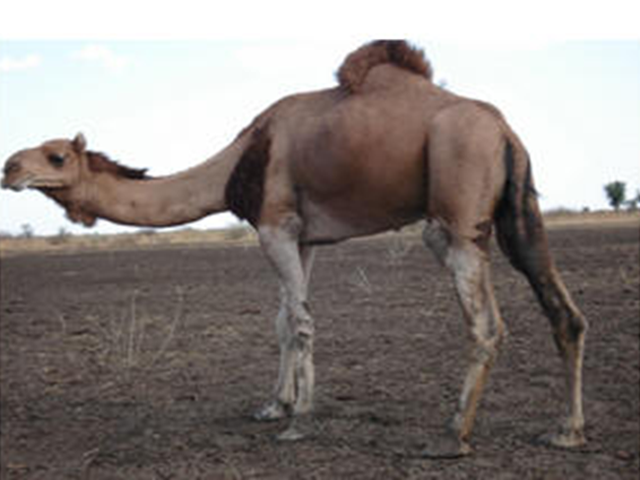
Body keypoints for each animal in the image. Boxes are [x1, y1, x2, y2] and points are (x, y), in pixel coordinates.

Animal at [2, 40, 587, 457]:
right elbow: (284, 318)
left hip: (457, 211)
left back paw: (451, 436)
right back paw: (566, 430)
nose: (9, 167)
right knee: (566, 312)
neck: (239, 159)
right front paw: (274, 406)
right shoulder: (303, 236)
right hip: (519, 212)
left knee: (486, 322)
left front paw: (299, 422)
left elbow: (301, 321)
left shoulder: (275, 223)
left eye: (56, 156)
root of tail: (506, 133)